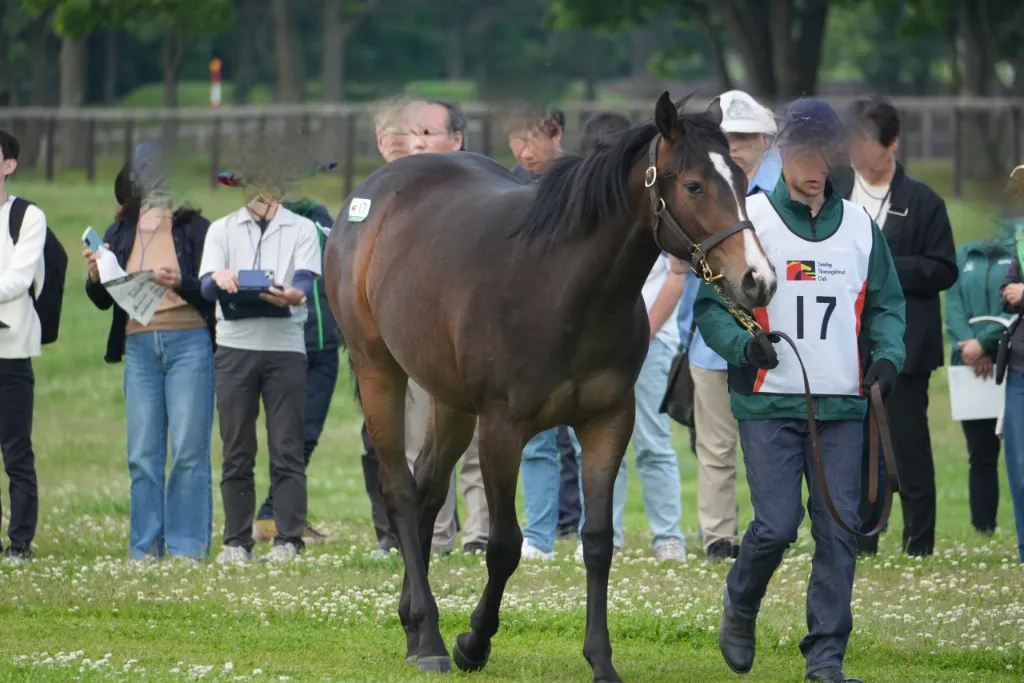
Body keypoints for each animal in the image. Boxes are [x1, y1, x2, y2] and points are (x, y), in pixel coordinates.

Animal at [324, 92, 777, 683]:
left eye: (743, 182)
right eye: (695, 185)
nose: (758, 280)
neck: (560, 286)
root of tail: (371, 196)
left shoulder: (608, 423)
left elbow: (599, 542)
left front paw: (601, 660)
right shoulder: (502, 430)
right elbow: (504, 547)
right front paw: (473, 642)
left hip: (450, 400)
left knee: (427, 488)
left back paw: (414, 627)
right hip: (379, 369)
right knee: (400, 491)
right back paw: (430, 638)